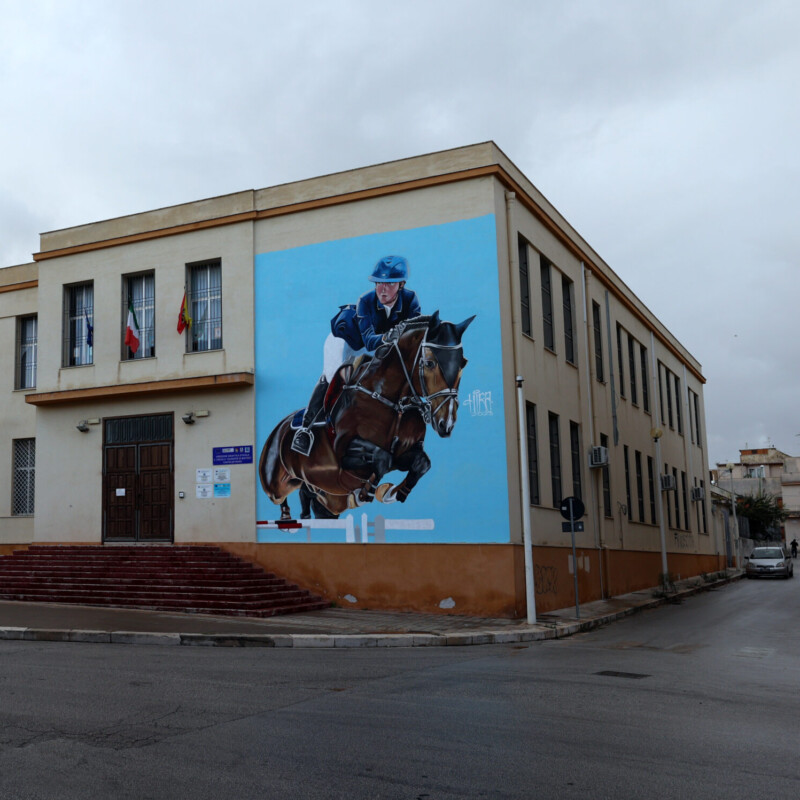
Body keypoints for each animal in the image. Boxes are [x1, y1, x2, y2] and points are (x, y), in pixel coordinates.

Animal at [260, 312, 476, 520]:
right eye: (430, 363)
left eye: (463, 363)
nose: (446, 424)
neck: (392, 401)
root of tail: (277, 430)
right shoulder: (343, 451)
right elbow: (382, 457)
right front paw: (368, 493)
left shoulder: (406, 452)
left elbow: (421, 463)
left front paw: (392, 493)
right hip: (275, 483)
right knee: (280, 497)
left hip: (327, 498)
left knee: (311, 497)